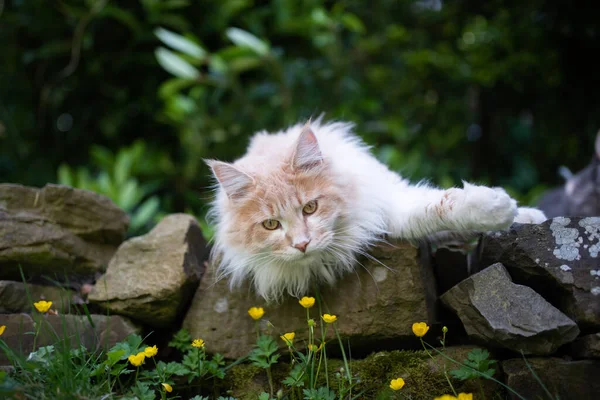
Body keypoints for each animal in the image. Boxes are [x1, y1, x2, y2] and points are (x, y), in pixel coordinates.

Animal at [207, 119, 548, 300]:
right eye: (270, 225)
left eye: (310, 208)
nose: (302, 244)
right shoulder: (396, 220)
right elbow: (433, 213)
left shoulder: (385, 201)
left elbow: (446, 203)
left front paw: (504, 208)